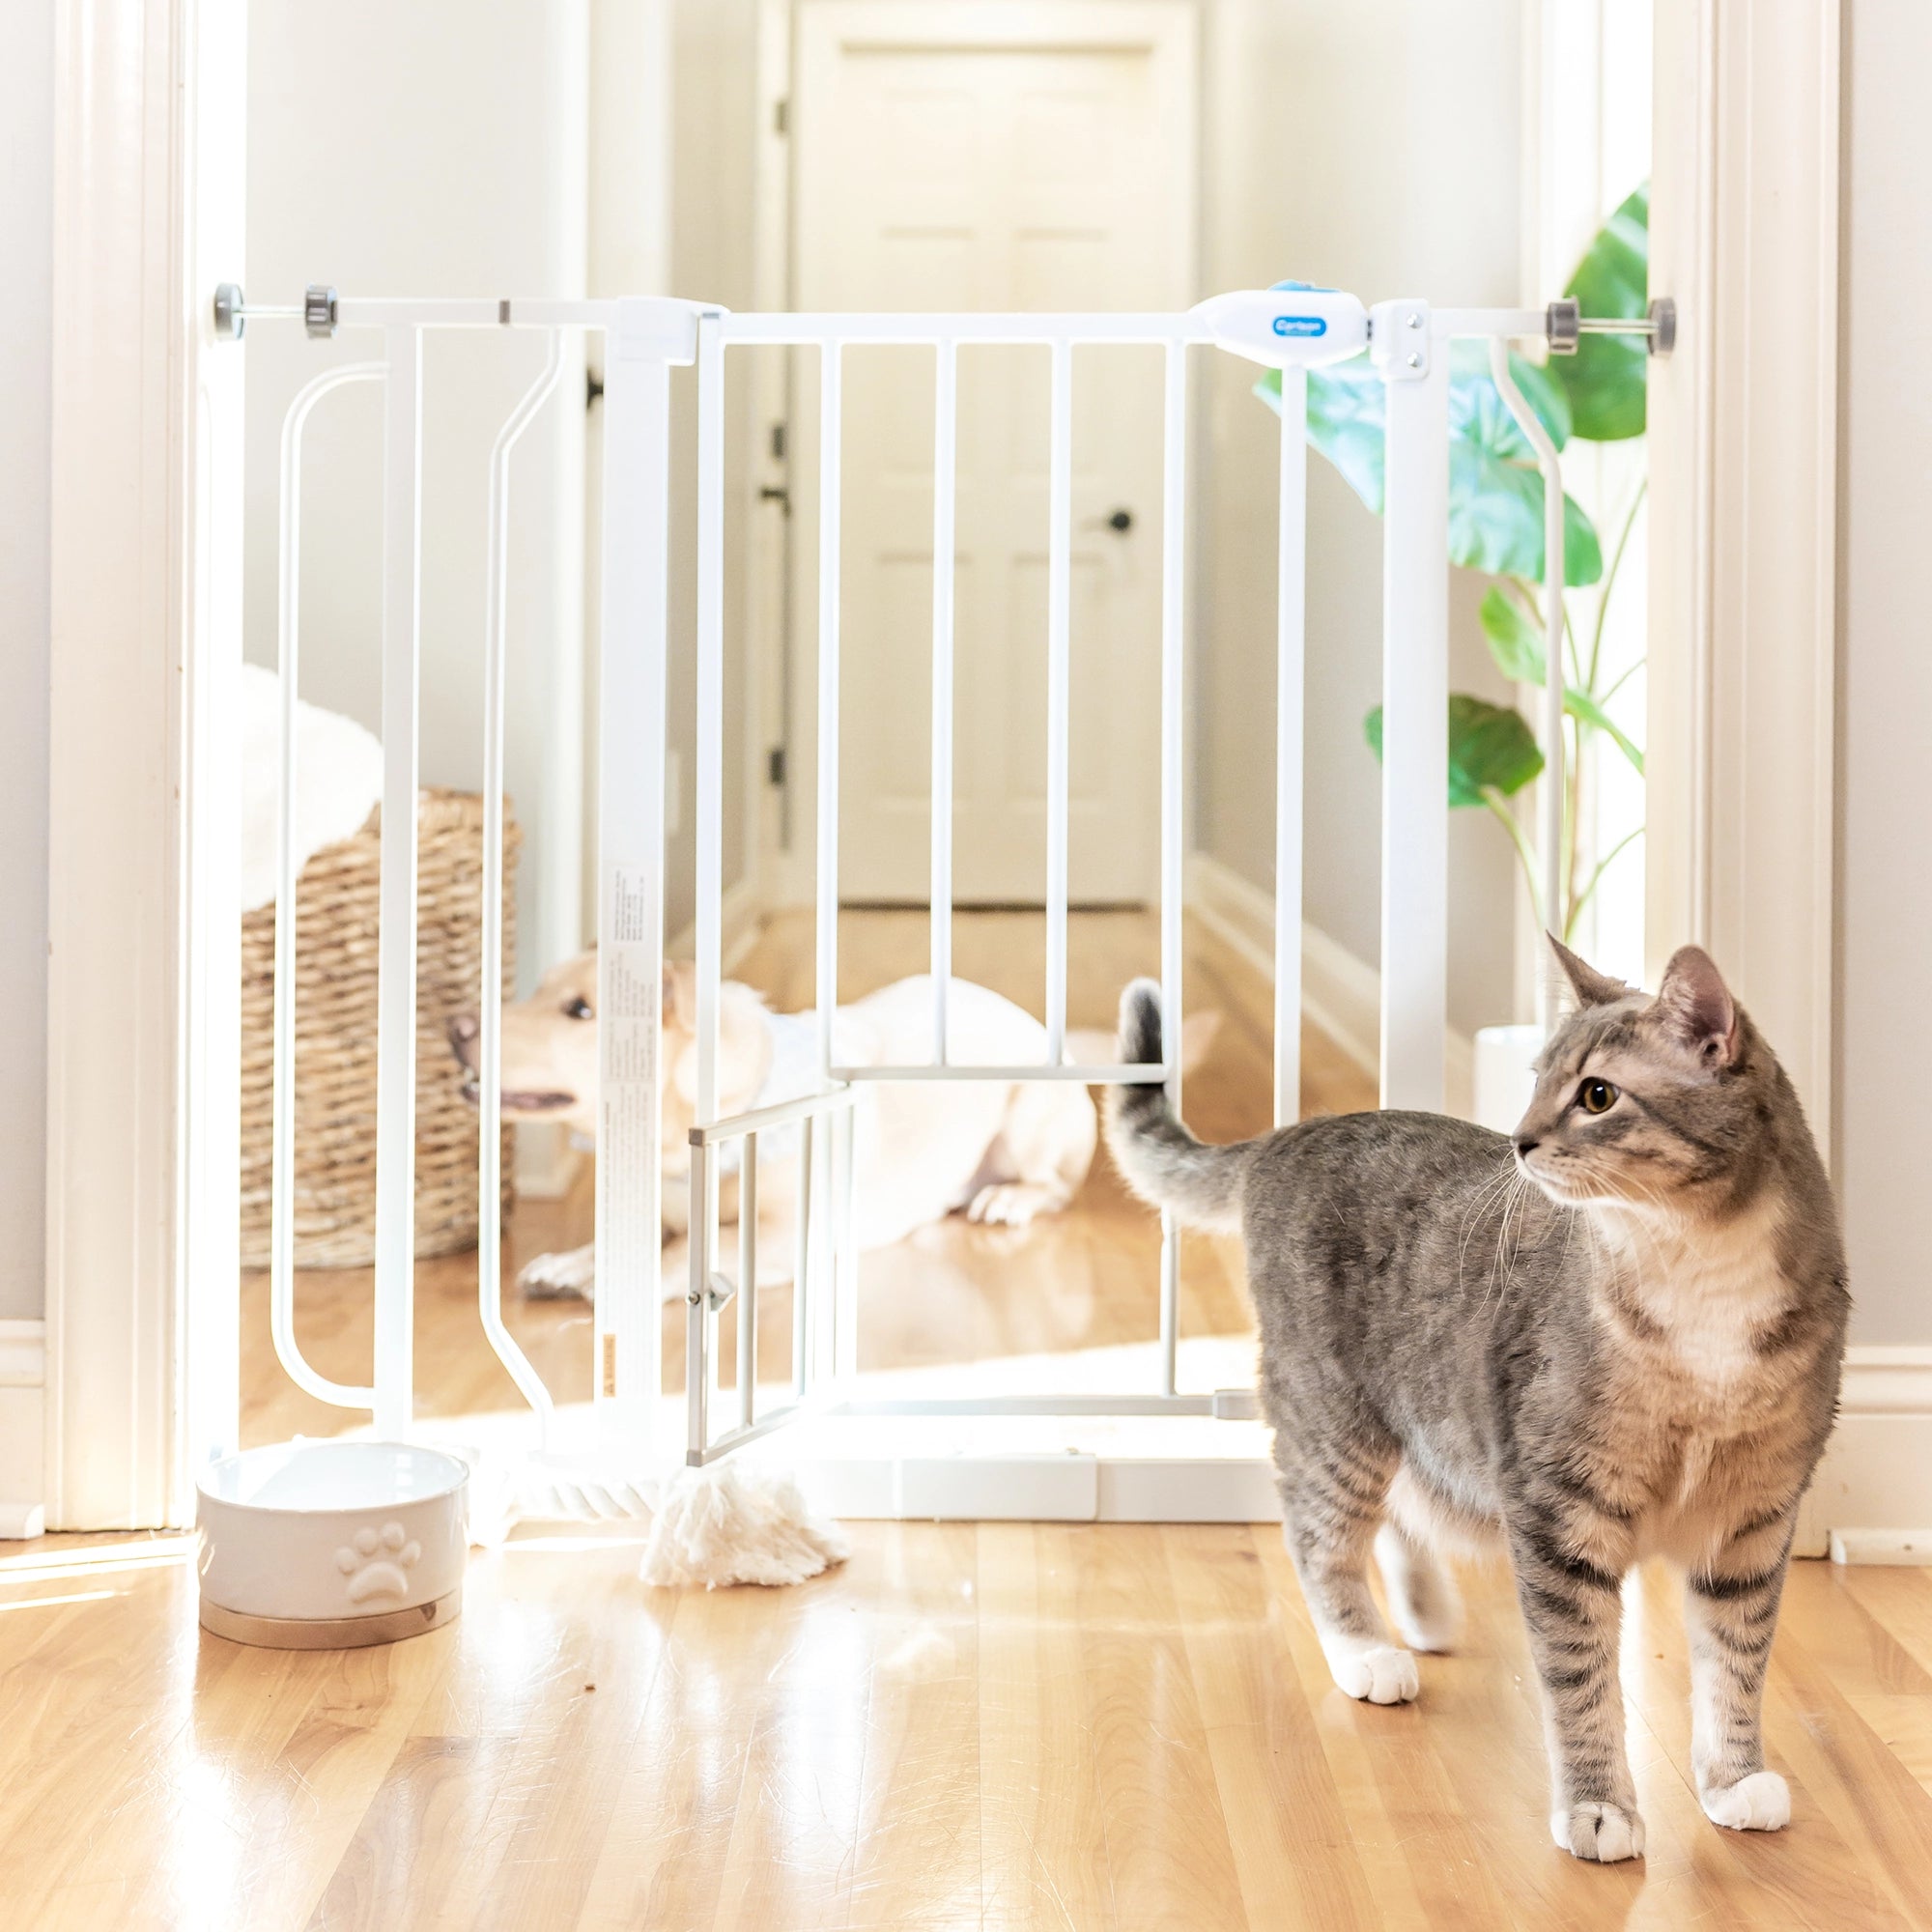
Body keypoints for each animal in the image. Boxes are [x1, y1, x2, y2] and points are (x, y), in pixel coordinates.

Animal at [452, 958, 1198, 1306]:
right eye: (537, 987)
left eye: (580, 1011)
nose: (456, 1026)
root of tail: (1049, 1034)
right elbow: (640, 1236)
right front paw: (571, 1262)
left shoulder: (789, 1233)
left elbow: (695, 1246)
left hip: (1030, 1130)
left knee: (1051, 1188)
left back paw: (1006, 1199)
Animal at [1105, 943, 1839, 1862]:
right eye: (1537, 1081)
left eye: (1597, 1095)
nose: (1522, 1140)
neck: (1696, 1275)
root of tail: (1289, 1134)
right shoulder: (1559, 1511)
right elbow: (1580, 1678)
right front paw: (1599, 1807)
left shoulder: (1753, 1522)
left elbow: (1734, 1666)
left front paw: (1735, 1780)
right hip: (1336, 1415)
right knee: (1320, 1537)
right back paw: (1367, 1652)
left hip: (1417, 1422)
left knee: (1399, 1513)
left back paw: (1423, 1615)